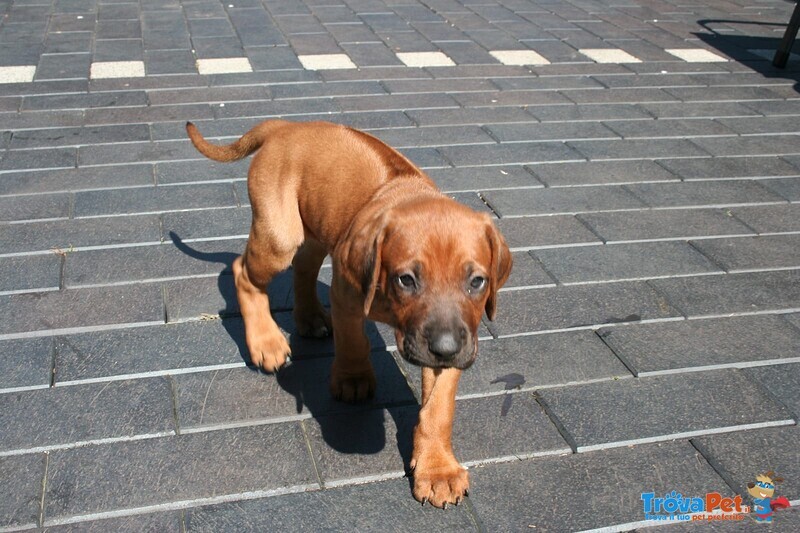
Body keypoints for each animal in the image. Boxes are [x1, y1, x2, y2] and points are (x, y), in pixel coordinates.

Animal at [188, 120, 512, 508]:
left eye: (477, 282)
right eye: (406, 279)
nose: (445, 348)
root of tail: (287, 125)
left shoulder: (456, 335)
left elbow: (439, 405)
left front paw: (438, 470)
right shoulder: (347, 291)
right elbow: (353, 339)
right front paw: (353, 379)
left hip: (313, 229)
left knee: (303, 265)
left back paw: (310, 318)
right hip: (279, 234)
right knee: (244, 272)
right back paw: (266, 343)